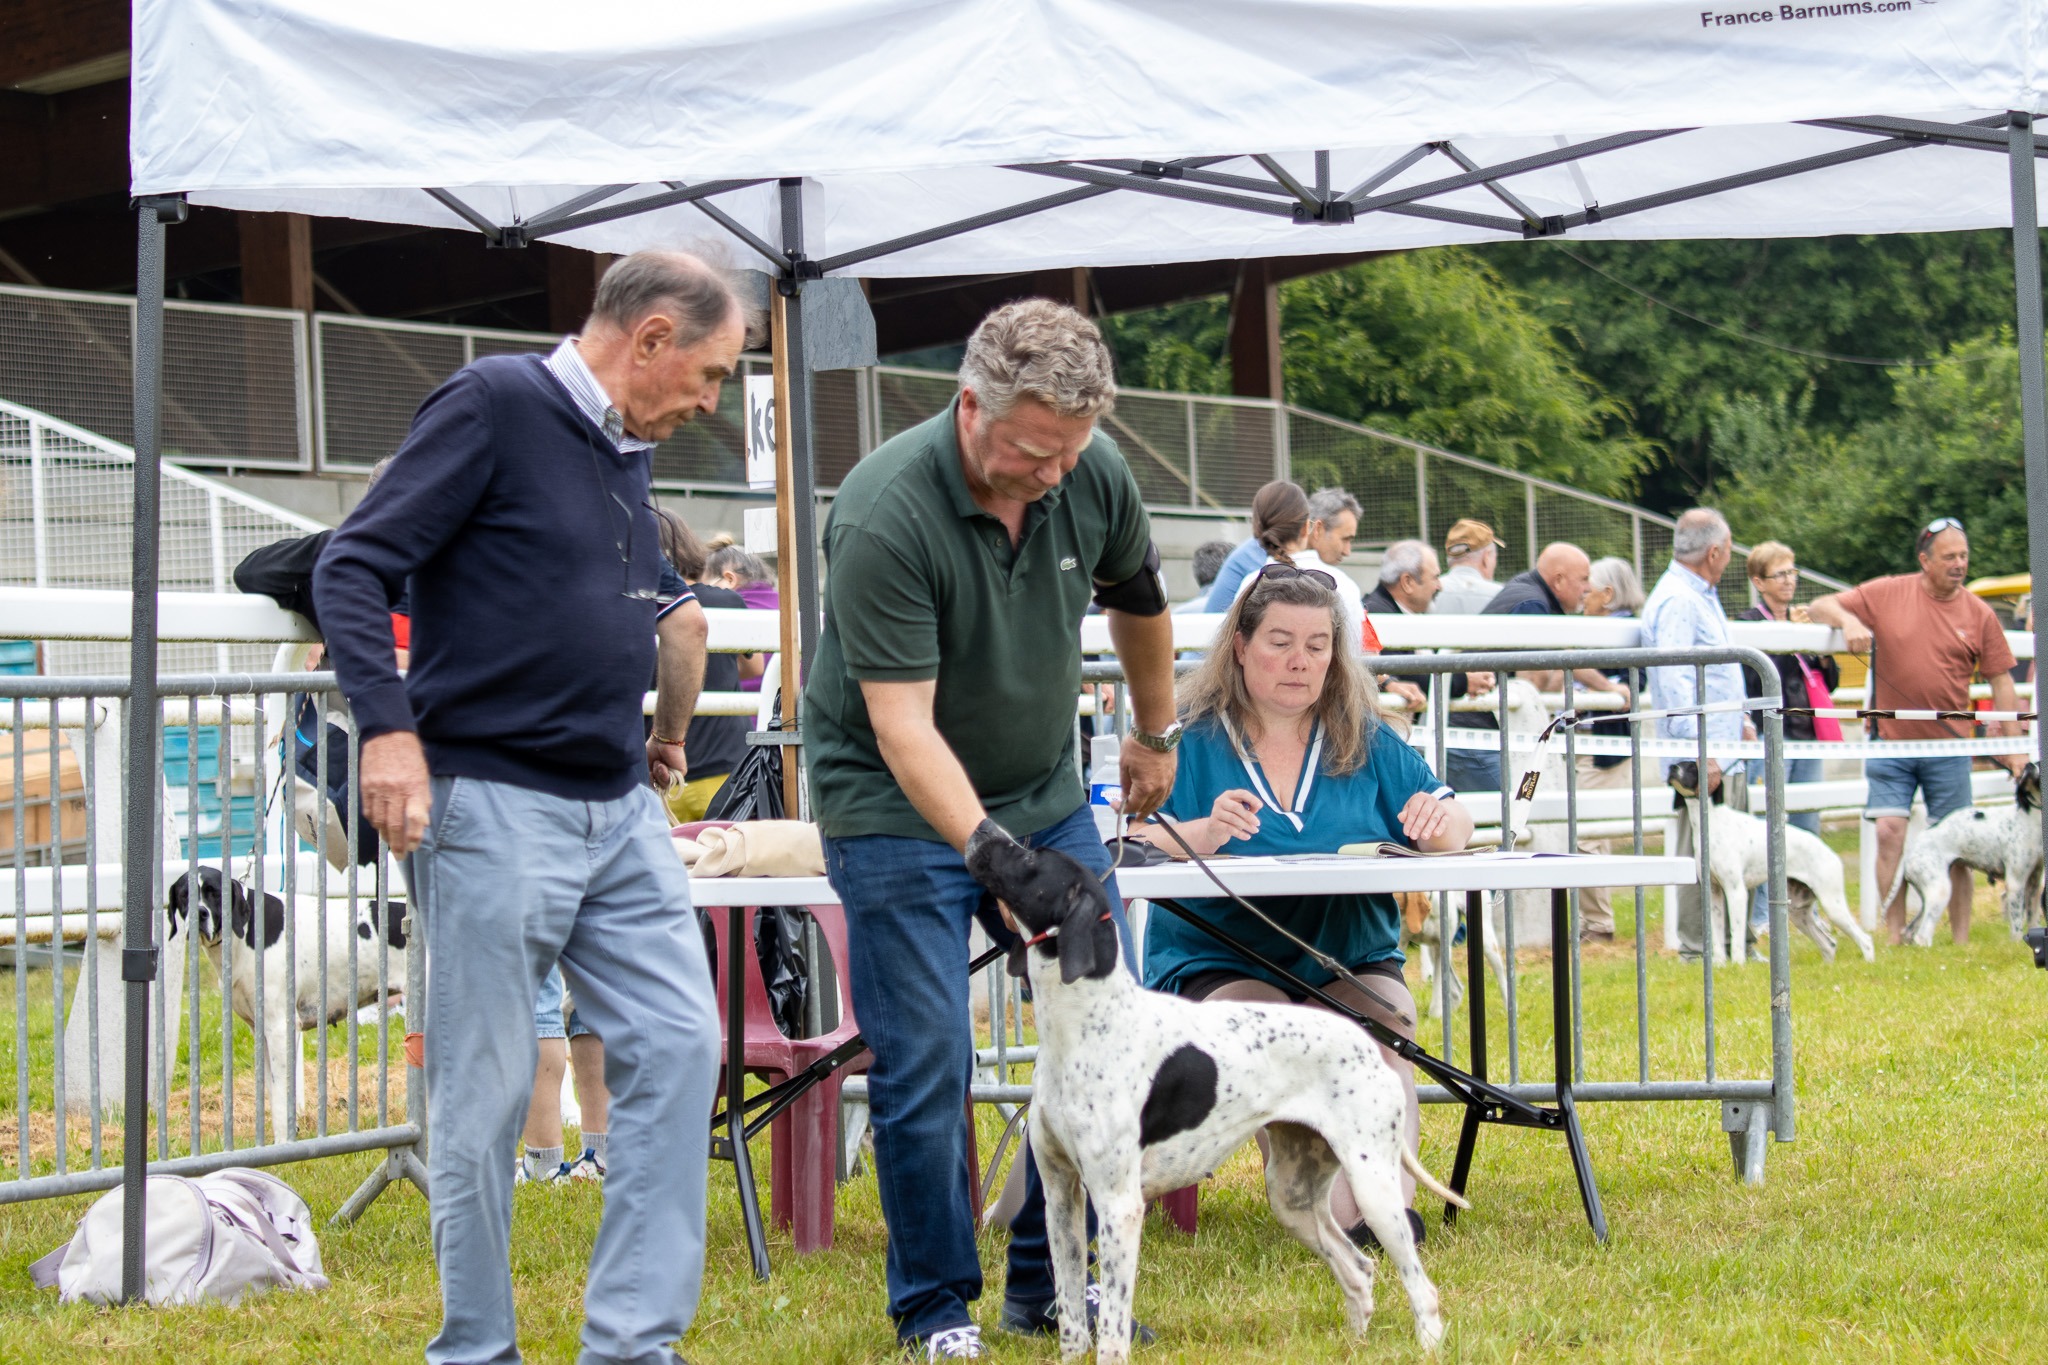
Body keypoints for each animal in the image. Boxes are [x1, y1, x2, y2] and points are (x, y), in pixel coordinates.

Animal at [166, 868, 408, 1141]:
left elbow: (282, 1099)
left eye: (215, 893)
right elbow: (273, 1096)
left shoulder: (280, 1030)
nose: (200, 913)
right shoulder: (262, 1032)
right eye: (184, 895)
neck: (246, 933)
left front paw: (283, 1141)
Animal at [978, 839, 1460, 1360]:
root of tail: (1371, 1047)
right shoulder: (1060, 1198)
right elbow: (1070, 1316)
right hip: (1293, 1195)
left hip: (1374, 1189)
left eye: (1030, 857)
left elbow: (1111, 1324)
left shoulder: (1119, 1207)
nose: (982, 834)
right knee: (1358, 1269)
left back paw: (1429, 1345)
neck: (1085, 1024)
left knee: (1421, 1288)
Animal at [1666, 761, 1875, 964]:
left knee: (1865, 940)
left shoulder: (1736, 892)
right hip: (1798, 913)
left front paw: (1738, 965)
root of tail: (1832, 854)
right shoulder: (1713, 892)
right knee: (1829, 944)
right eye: (1679, 763)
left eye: (1692, 766)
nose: (1671, 768)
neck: (1712, 823)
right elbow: (1716, 938)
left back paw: (1869, 963)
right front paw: (1719, 965)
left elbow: (1736, 936)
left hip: (1833, 905)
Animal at [1886, 762, 2043, 946]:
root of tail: (1911, 848)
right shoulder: (2015, 883)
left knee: (1910, 931)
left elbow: (2033, 921)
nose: (2028, 765)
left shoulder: (2033, 883)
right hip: (1940, 891)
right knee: (1922, 936)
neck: (2030, 817)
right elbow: (2017, 926)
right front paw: (2017, 944)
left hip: (1929, 896)